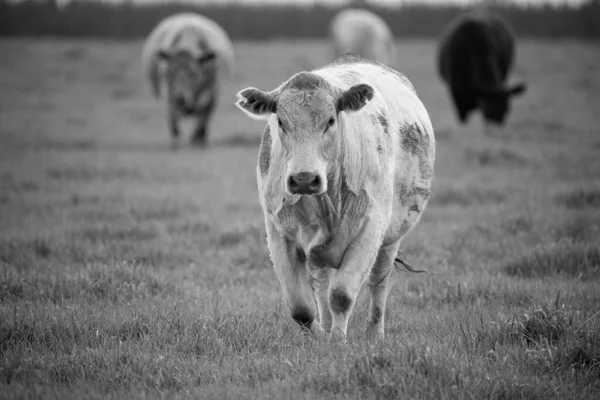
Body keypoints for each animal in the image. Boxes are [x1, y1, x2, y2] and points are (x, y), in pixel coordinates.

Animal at [141, 13, 234, 148]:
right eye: (169, 72)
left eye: (194, 73)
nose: (180, 98)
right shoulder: (168, 99)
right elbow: (174, 126)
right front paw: (176, 144)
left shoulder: (211, 97)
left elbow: (201, 124)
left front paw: (197, 142)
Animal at [234, 53, 436, 342]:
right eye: (281, 122)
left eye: (330, 120)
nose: (304, 178)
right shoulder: (278, 234)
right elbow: (301, 308)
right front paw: (321, 334)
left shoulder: (369, 230)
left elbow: (341, 295)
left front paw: (338, 340)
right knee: (320, 285)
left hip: (391, 237)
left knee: (379, 281)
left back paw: (374, 333)